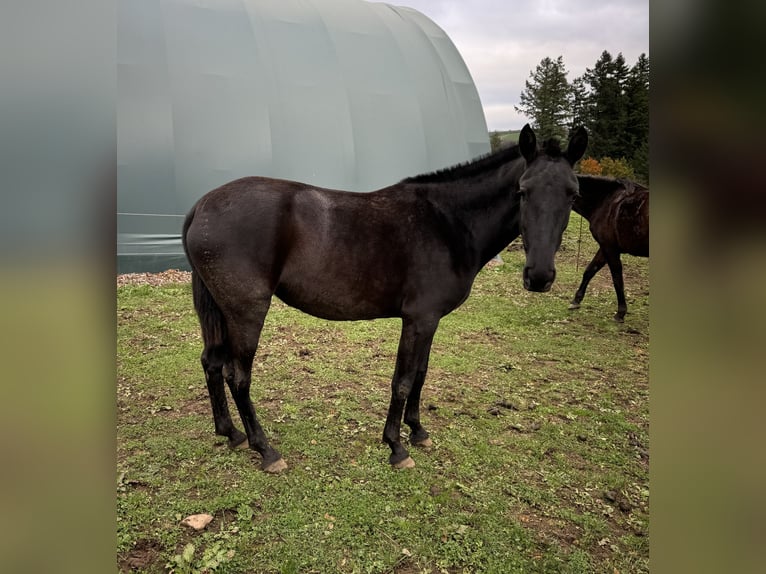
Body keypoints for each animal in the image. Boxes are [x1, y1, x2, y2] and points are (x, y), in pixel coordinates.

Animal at [184, 125, 588, 472]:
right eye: (523, 191)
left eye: (573, 194)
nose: (539, 276)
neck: (446, 222)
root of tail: (201, 205)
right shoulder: (418, 319)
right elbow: (403, 380)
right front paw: (396, 446)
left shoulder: (430, 321)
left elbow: (421, 374)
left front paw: (418, 431)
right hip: (246, 313)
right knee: (238, 376)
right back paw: (265, 449)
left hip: (220, 312)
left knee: (212, 364)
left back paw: (231, 433)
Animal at [568, 176, 648, 322]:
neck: (605, 201)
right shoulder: (605, 247)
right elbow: (589, 271)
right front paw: (576, 301)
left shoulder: (609, 248)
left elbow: (617, 279)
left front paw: (620, 313)